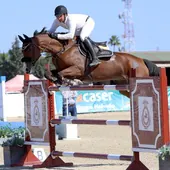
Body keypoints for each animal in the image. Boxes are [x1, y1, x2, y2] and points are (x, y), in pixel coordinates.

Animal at [17, 27, 160, 97]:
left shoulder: (78, 70)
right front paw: (59, 81)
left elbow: (61, 74)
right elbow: (51, 73)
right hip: (124, 87)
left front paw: (70, 82)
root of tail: (141, 61)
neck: (63, 49)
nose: (27, 69)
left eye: (27, 48)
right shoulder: (62, 69)